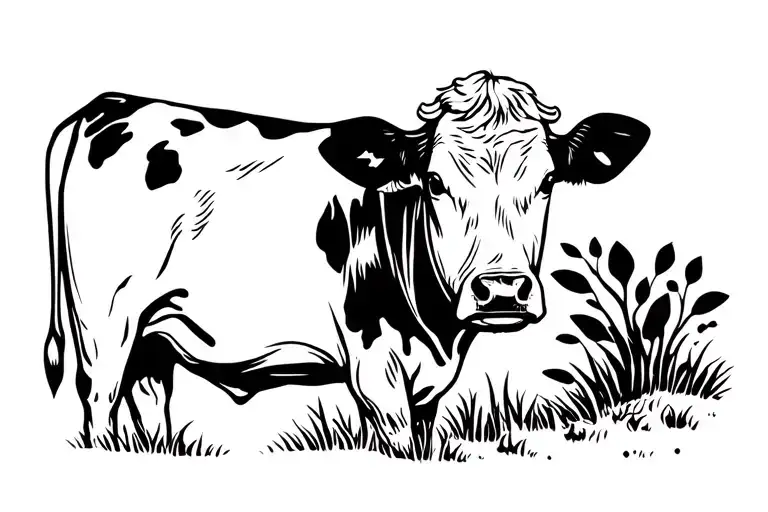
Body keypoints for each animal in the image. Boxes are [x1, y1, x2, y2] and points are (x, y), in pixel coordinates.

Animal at [43, 71, 649, 457]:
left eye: (547, 182)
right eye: (434, 181)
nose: (502, 291)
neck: (439, 330)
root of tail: (107, 105)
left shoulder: (428, 385)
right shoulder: (374, 366)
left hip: (154, 336)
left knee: (148, 410)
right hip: (106, 327)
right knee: (98, 404)